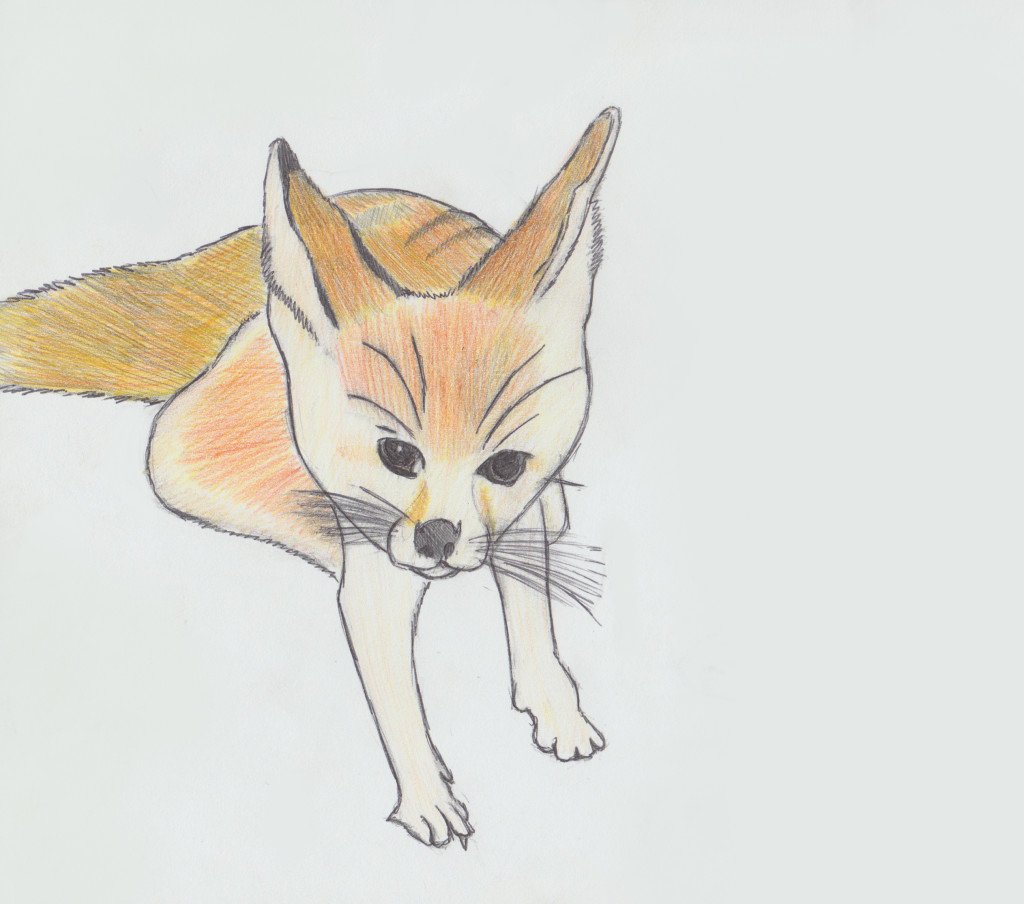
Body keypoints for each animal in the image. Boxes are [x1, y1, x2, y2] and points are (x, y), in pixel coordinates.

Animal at [0, 108, 620, 848]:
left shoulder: (521, 507)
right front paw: (426, 792)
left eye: (502, 465)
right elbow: (393, 683)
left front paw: (551, 697)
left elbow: (530, 598)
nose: (438, 539)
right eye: (397, 455)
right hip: (182, 447)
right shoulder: (365, 567)